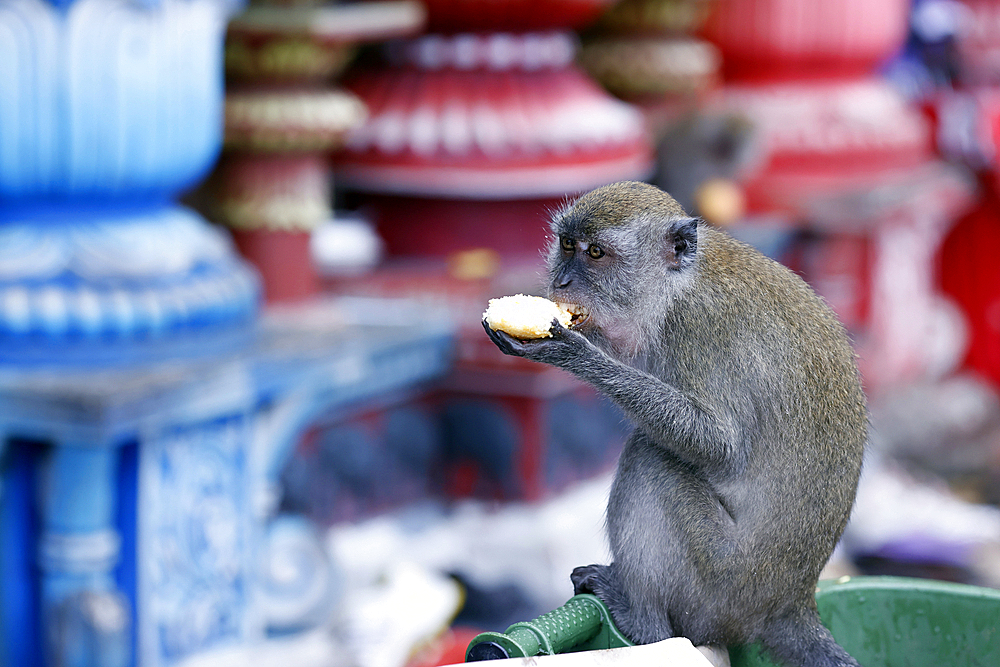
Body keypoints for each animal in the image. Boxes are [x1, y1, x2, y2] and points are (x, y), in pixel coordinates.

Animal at [482, 183, 868, 667]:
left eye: (596, 253)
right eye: (568, 246)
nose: (562, 282)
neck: (673, 289)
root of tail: (788, 603)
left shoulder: (701, 327)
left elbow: (719, 445)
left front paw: (571, 352)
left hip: (715, 583)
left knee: (650, 458)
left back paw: (641, 620)